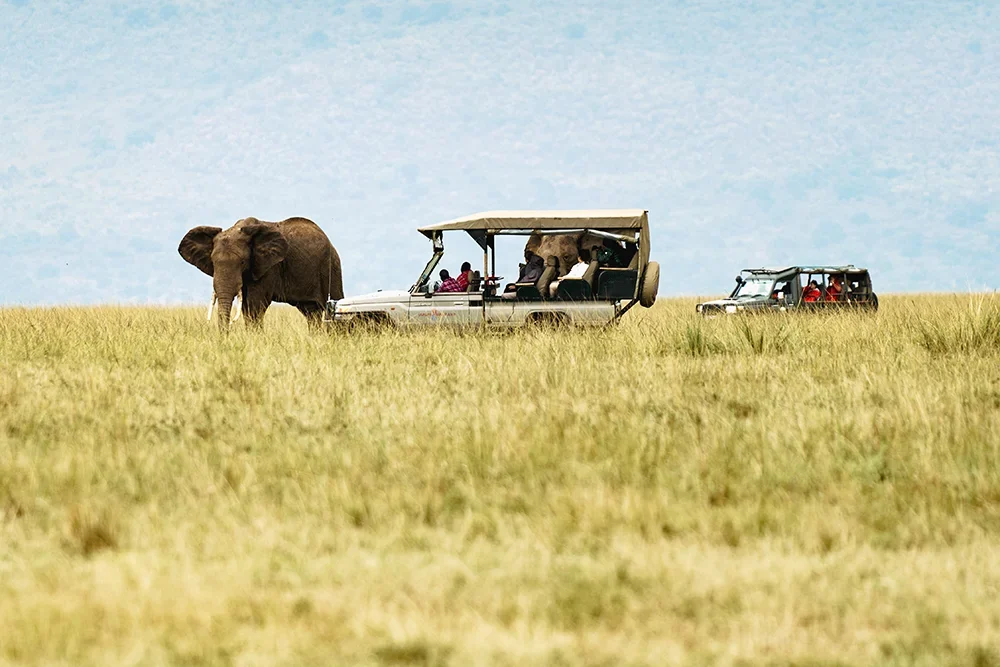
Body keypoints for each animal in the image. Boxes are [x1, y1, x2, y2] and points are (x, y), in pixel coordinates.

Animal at [178, 217, 343, 329]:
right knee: (311, 312)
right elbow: (246, 306)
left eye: (242, 262)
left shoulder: (268, 267)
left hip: (331, 266)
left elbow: (254, 305)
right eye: (213, 262)